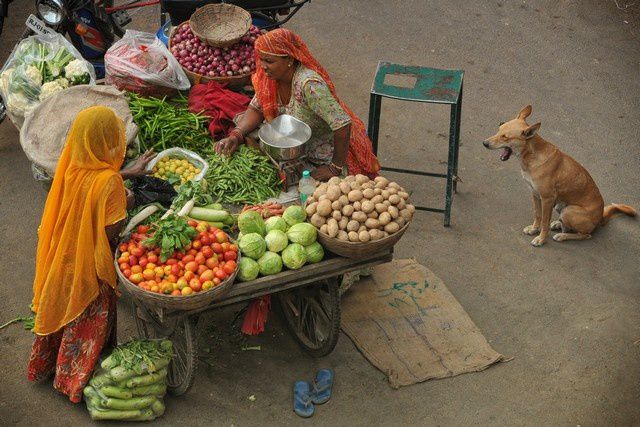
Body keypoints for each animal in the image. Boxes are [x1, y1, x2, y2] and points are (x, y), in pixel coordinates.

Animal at [484, 104, 636, 247]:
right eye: (499, 127)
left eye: (505, 137)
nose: (484, 143)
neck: (532, 157)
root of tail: (600, 217)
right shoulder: (535, 194)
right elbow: (537, 215)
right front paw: (534, 229)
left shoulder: (547, 199)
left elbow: (544, 221)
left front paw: (541, 239)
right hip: (559, 206)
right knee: (569, 226)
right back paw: (558, 223)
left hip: (569, 211)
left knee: (585, 235)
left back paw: (562, 236)